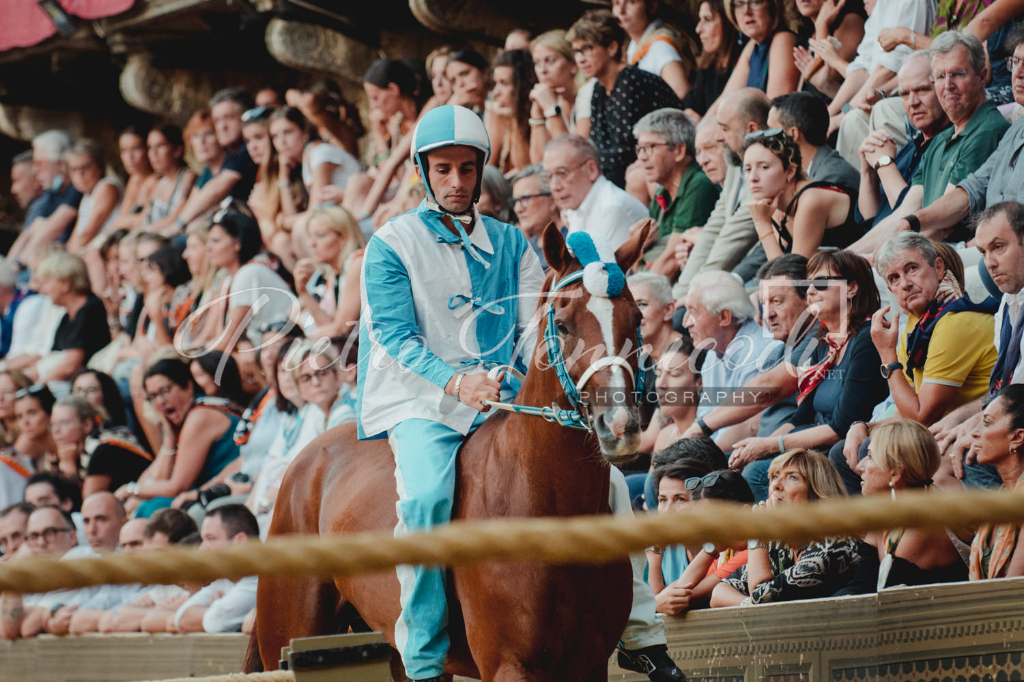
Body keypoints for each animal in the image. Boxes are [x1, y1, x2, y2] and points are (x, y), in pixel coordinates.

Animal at [243, 220, 651, 675]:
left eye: (637, 317)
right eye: (562, 324)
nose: (620, 426)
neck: (540, 503)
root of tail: (307, 460)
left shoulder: (588, 663)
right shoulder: (509, 664)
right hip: (290, 637)